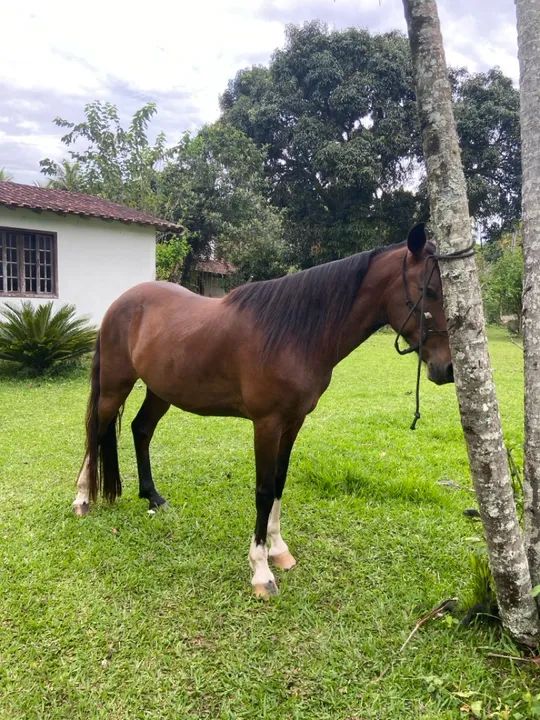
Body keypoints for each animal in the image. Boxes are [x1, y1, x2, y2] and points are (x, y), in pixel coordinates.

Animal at [73, 223, 453, 598]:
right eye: (430, 290)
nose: (447, 369)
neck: (294, 334)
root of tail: (121, 303)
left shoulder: (293, 422)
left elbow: (280, 482)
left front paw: (279, 550)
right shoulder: (267, 424)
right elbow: (264, 490)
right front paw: (260, 570)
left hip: (160, 390)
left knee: (141, 430)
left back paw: (153, 497)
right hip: (114, 387)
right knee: (96, 432)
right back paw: (82, 498)